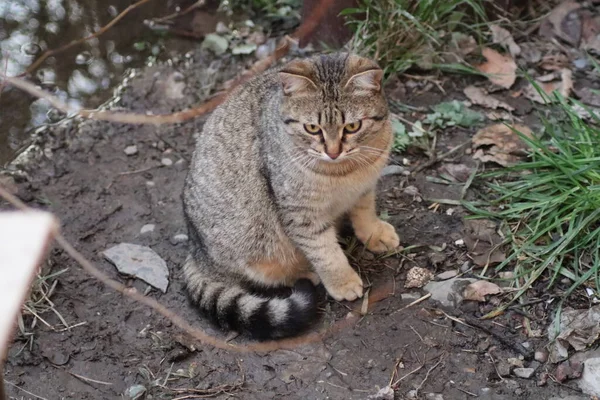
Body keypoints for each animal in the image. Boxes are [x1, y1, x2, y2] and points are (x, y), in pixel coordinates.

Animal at [182, 51, 398, 340]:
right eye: (312, 128)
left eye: (352, 126)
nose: (333, 152)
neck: (346, 172)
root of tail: (196, 252)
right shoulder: (301, 214)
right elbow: (325, 251)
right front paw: (342, 280)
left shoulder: (364, 187)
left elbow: (365, 212)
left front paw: (374, 233)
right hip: (257, 242)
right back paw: (305, 272)